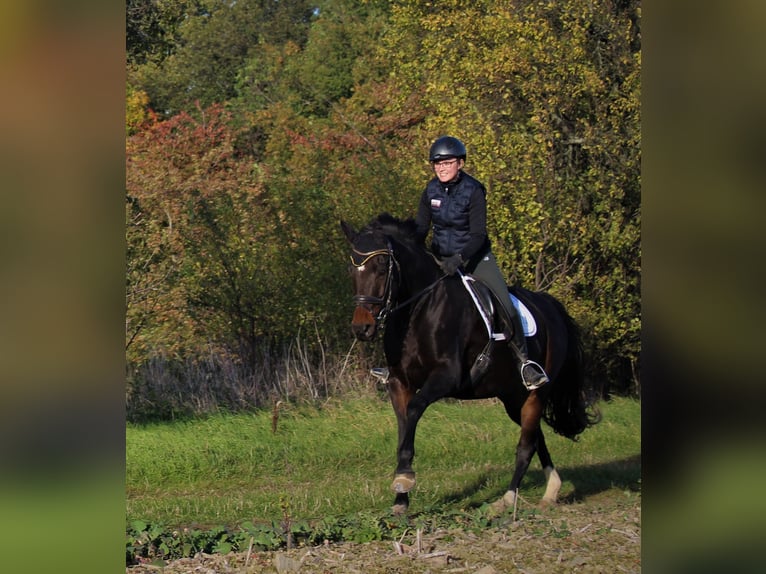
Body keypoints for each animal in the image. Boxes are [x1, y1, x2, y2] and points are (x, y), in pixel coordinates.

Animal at [340, 214, 600, 516]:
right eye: (352, 267)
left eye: (382, 266)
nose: (363, 328)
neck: (418, 311)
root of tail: (550, 305)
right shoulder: (398, 383)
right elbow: (405, 425)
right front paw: (401, 498)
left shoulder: (446, 377)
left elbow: (415, 409)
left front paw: (404, 478)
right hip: (514, 398)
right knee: (535, 437)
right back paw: (551, 490)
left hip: (536, 392)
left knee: (526, 445)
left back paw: (507, 499)